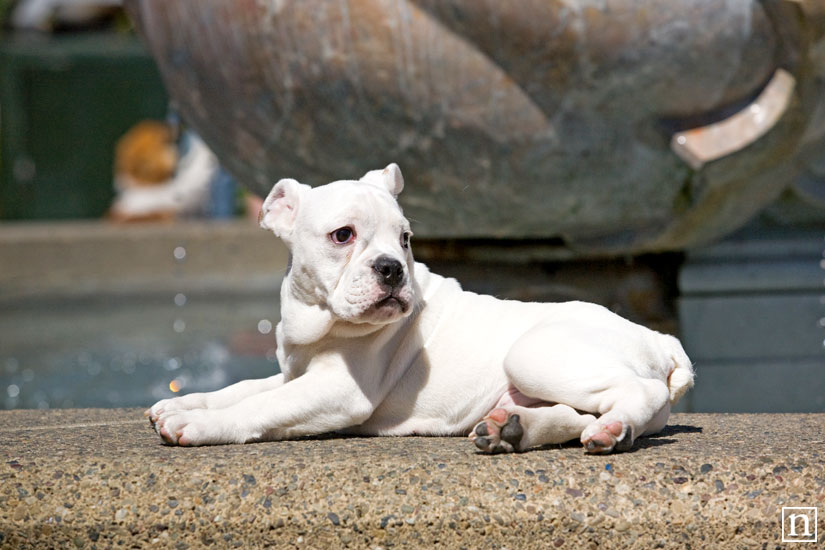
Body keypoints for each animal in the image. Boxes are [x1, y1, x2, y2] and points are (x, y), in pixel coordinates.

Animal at [145, 165, 692, 458]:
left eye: (405, 239)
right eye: (342, 235)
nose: (391, 268)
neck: (319, 321)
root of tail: (661, 340)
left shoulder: (337, 390)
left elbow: (261, 405)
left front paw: (198, 425)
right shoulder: (295, 373)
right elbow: (244, 387)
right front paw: (182, 403)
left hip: (534, 353)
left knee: (633, 395)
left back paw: (612, 430)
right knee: (570, 413)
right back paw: (511, 429)